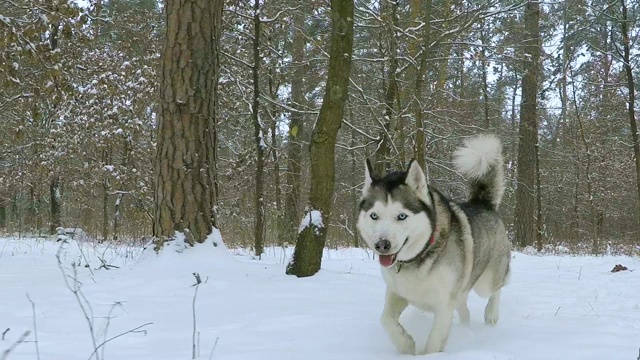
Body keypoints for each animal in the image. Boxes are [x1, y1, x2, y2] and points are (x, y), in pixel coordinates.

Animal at [358, 134, 512, 354]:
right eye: (374, 215)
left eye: (401, 216)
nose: (382, 245)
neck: (418, 257)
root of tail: (483, 203)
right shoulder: (398, 292)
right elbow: (385, 319)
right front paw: (406, 344)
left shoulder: (444, 304)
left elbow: (434, 342)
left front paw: (425, 353)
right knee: (464, 309)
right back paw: (465, 327)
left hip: (486, 281)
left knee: (496, 288)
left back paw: (491, 314)